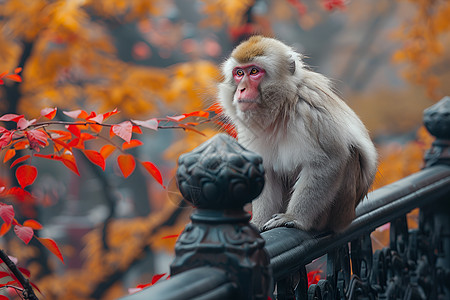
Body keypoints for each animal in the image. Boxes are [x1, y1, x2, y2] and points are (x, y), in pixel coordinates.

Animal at [217, 35, 376, 232]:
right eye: (239, 73)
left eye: (254, 71)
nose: (241, 89)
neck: (282, 106)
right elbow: (265, 170)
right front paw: (258, 222)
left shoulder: (311, 110)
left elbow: (329, 161)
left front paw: (292, 217)